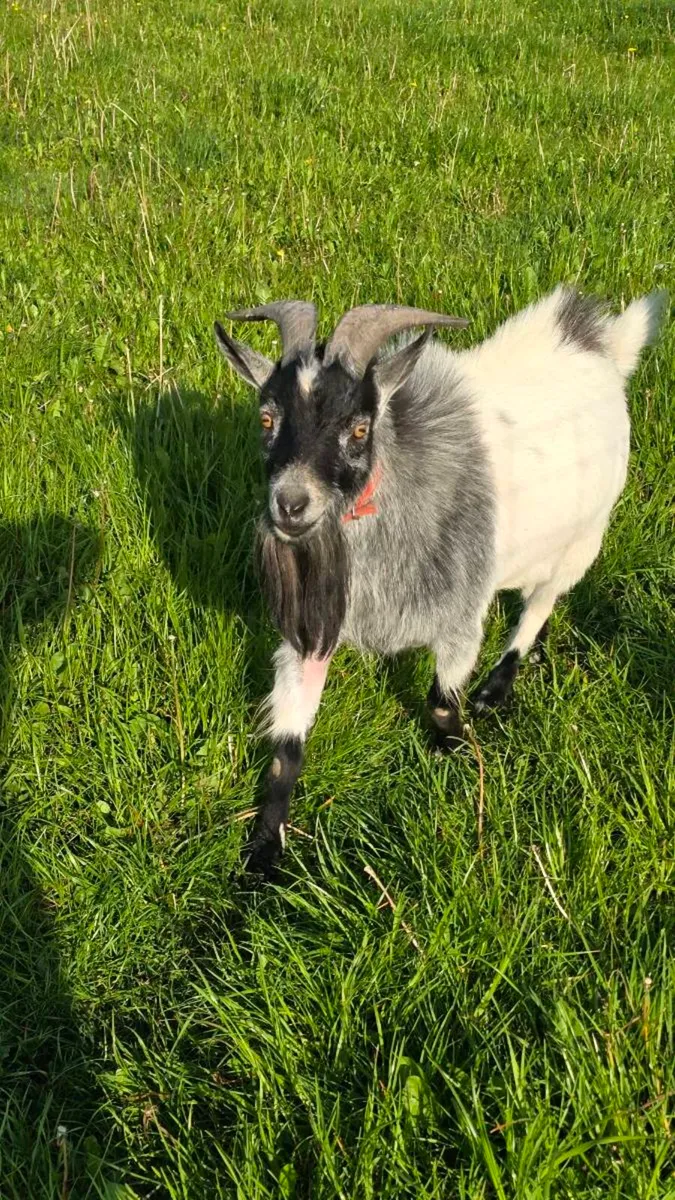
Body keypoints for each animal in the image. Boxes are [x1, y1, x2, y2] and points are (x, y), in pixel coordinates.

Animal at [214, 287, 667, 874]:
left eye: (360, 427)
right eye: (267, 419)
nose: (290, 505)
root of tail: (597, 341)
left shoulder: (459, 619)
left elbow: (440, 702)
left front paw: (459, 758)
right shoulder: (312, 632)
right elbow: (286, 745)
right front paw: (264, 855)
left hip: (586, 536)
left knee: (542, 603)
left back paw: (497, 688)